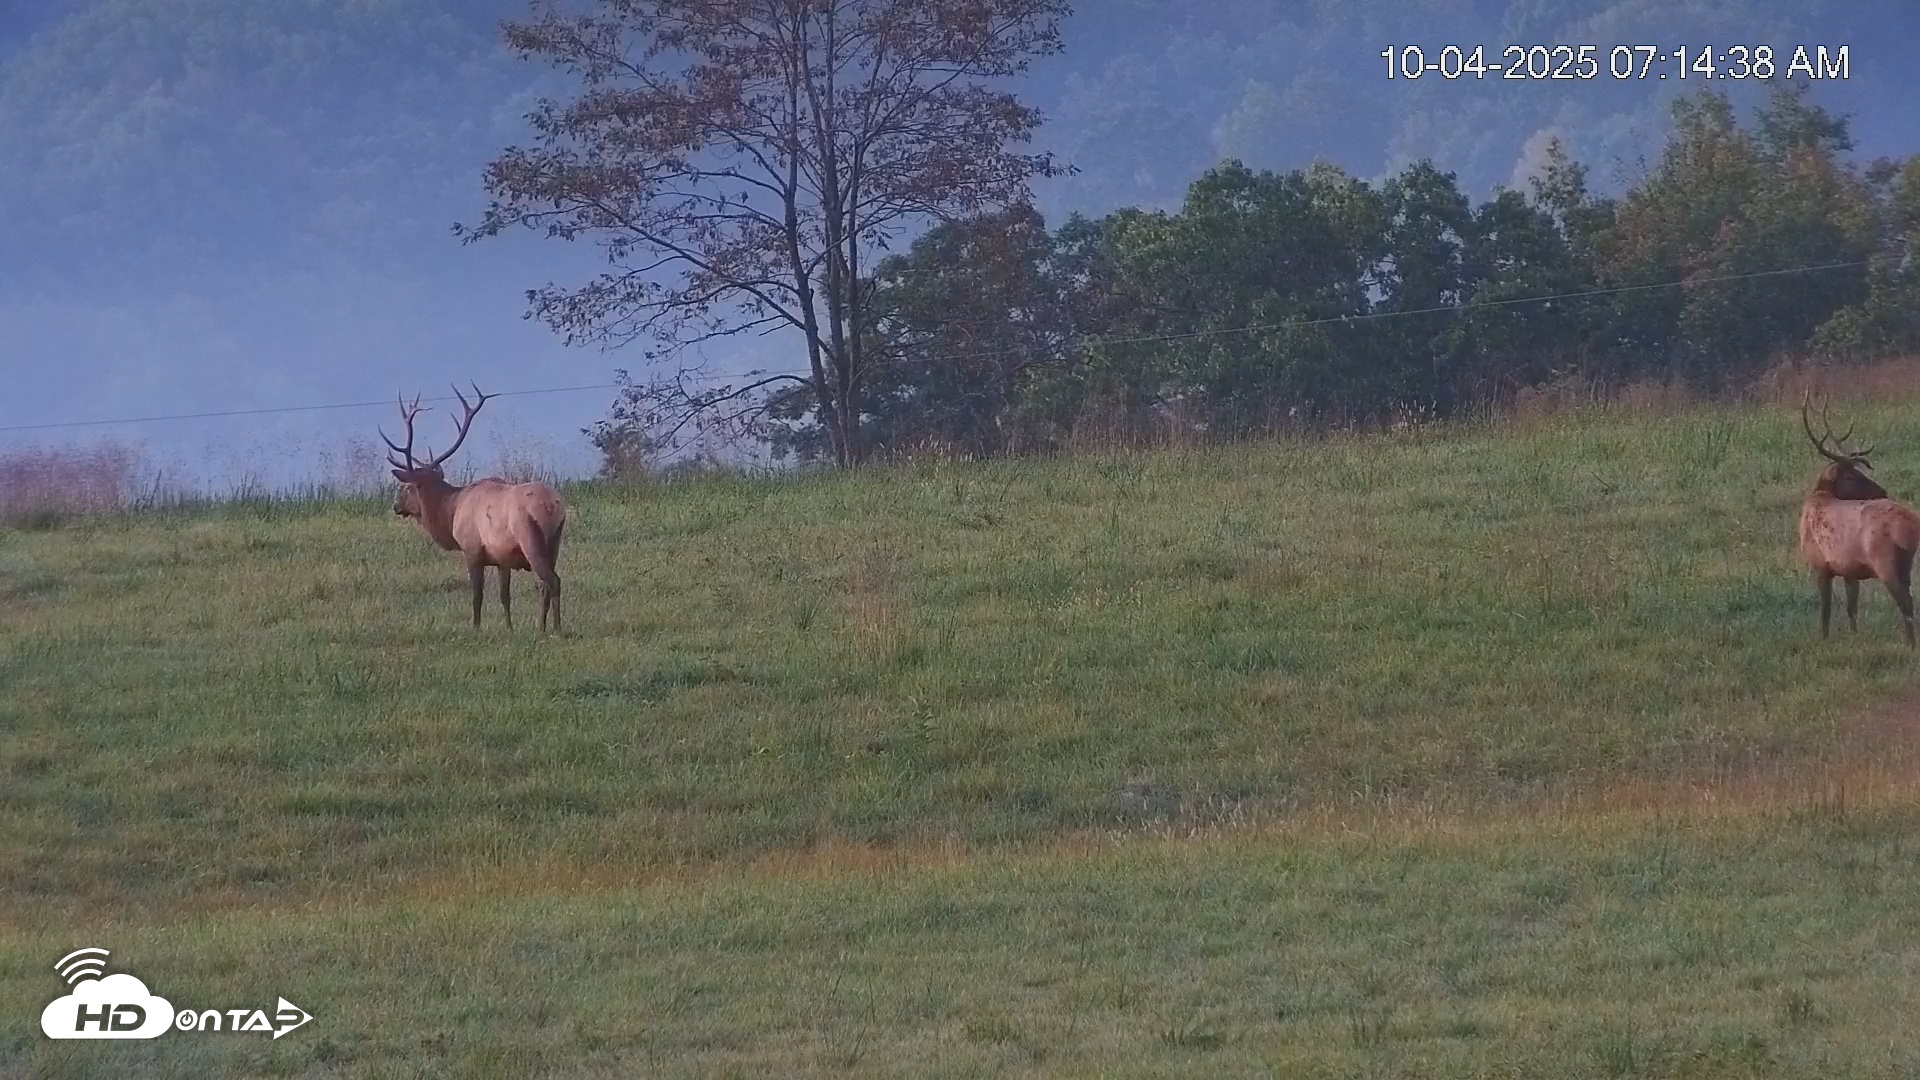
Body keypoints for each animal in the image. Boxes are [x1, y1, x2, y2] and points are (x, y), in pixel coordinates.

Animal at [383, 383, 568, 632]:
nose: (395, 506)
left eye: (408, 486)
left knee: (551, 581)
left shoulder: (471, 549)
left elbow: (477, 595)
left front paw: (477, 628)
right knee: (547, 583)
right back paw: (543, 626)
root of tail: (551, 506)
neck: (451, 511)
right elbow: (504, 596)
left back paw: (553, 628)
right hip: (554, 543)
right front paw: (509, 628)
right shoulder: (502, 559)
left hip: (530, 537)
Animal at [1798, 391, 1919, 649]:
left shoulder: (1820, 564)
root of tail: (1913, 526)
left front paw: (1824, 640)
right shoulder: (1849, 570)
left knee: (1906, 602)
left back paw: (1911, 645)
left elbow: (1826, 610)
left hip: (1886, 561)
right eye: (1851, 476)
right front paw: (1854, 637)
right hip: (1906, 563)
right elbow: (1851, 608)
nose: (1882, 491)